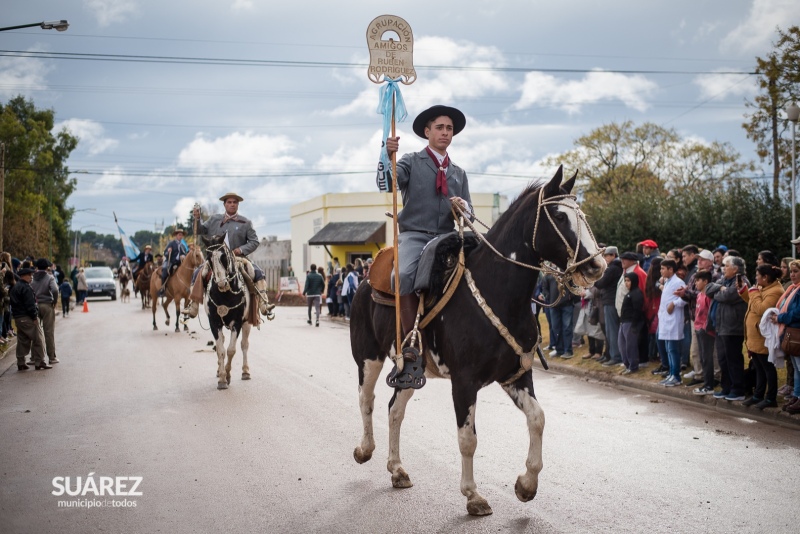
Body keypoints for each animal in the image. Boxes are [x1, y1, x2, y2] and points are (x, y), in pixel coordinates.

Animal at [202, 237, 252, 392]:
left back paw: (245, 371)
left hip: (247, 323)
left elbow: (231, 350)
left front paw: (228, 375)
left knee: (244, 344)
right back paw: (220, 370)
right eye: (208, 258)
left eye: (224, 256)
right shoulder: (214, 322)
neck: (225, 294)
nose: (222, 284)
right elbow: (220, 350)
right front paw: (222, 378)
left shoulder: (237, 322)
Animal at [350, 169, 608, 520]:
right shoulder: (464, 382)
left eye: (581, 215)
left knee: (394, 410)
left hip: (410, 373)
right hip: (368, 357)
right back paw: (365, 449)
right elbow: (467, 439)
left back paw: (397, 468)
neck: (498, 293)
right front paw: (473, 495)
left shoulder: (516, 376)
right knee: (367, 400)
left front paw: (526, 484)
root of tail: (365, 279)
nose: (598, 266)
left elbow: (537, 418)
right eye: (558, 216)